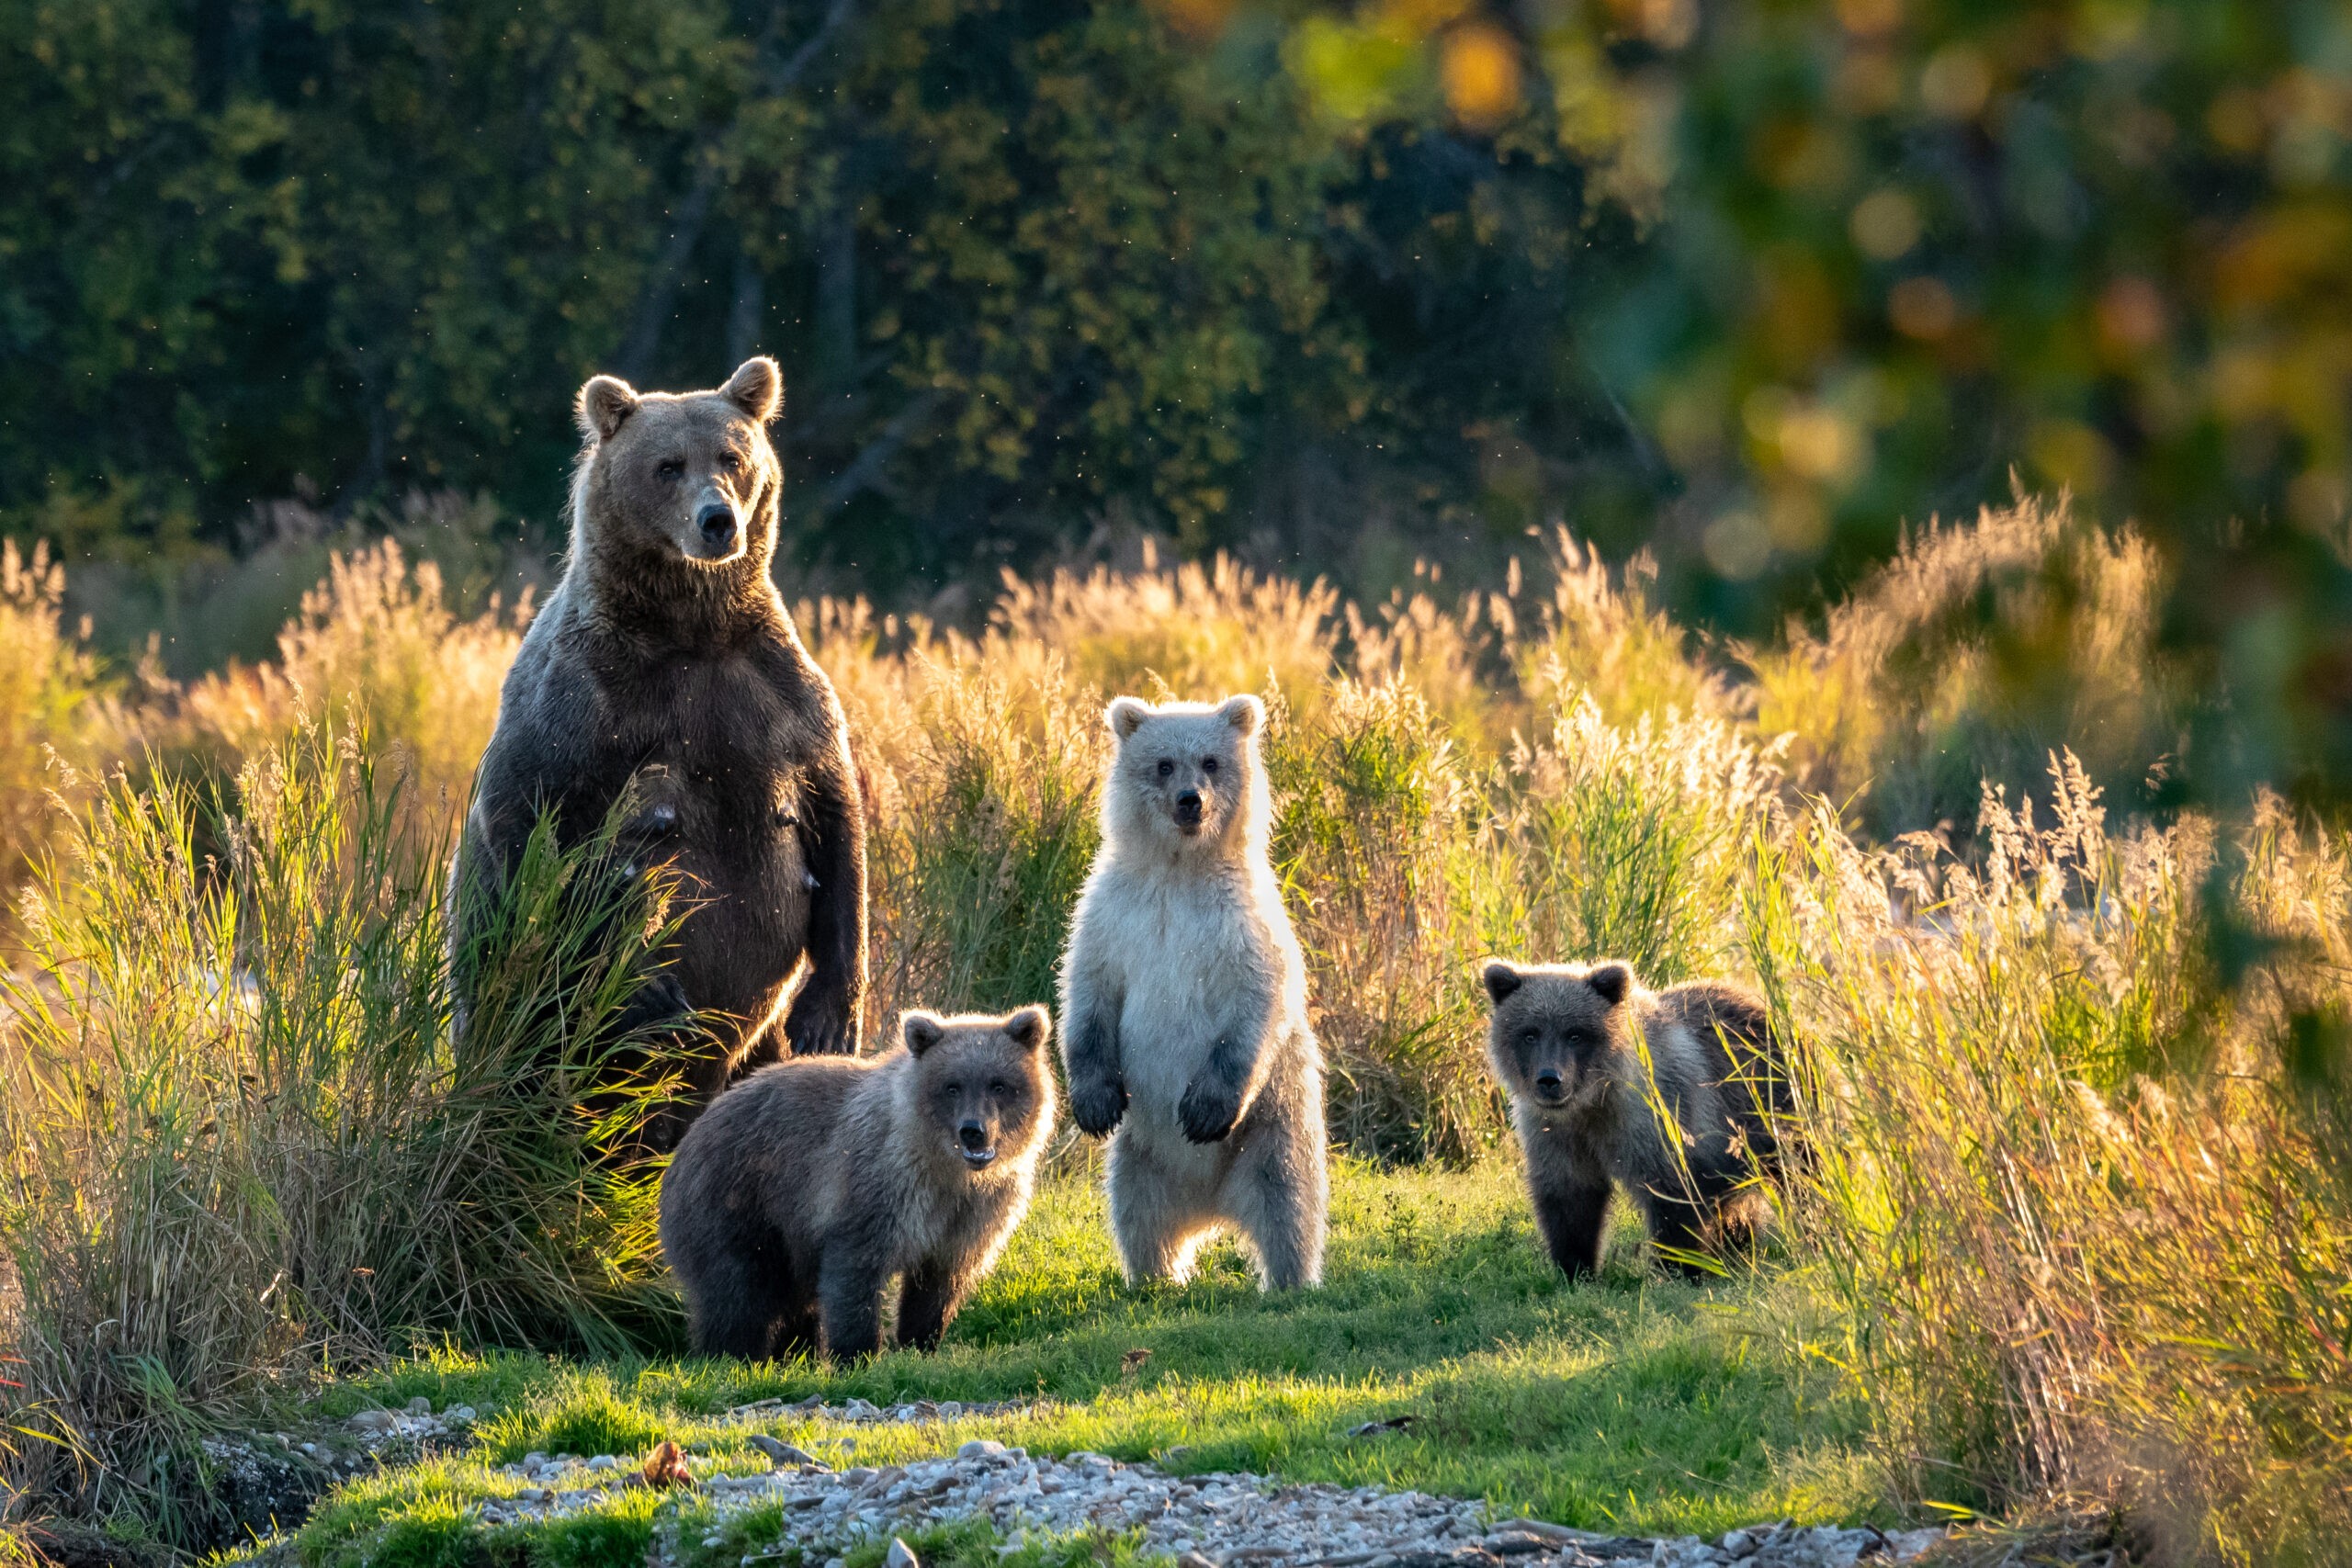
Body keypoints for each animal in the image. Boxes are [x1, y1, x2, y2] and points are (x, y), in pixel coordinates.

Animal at [452, 357, 868, 1130]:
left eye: (732, 457)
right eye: (667, 464)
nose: (718, 520)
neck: (691, 629)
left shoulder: (777, 694)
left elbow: (837, 821)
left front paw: (829, 1014)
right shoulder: (586, 701)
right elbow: (535, 822)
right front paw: (645, 989)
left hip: (752, 1050)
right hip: (516, 1012)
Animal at [658, 1004, 1056, 1360]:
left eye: (999, 1085)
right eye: (952, 1086)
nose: (974, 1131)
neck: (945, 1168)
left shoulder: (972, 1213)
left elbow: (938, 1284)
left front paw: (920, 1342)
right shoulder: (878, 1186)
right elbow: (855, 1271)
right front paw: (858, 1353)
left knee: (790, 1297)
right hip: (737, 1199)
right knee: (737, 1290)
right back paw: (734, 1355)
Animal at [1058, 693, 1327, 1292]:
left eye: (1209, 761)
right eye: (1163, 764)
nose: (1190, 801)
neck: (1180, 871)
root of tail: (1211, 1208)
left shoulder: (1243, 924)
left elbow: (1257, 1002)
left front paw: (1202, 1110)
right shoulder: (1113, 915)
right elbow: (1088, 995)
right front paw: (1094, 1102)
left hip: (1272, 1126)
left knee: (1289, 1202)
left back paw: (1288, 1280)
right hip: (1141, 1156)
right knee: (1137, 1213)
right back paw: (1157, 1276)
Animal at [1480, 959, 1793, 1279]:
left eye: (1575, 1034)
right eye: (1529, 1033)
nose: (1549, 1079)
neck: (1593, 1101)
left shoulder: (1655, 1117)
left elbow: (1673, 1193)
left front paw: (1679, 1267)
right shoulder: (1554, 1131)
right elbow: (1570, 1196)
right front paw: (1576, 1268)